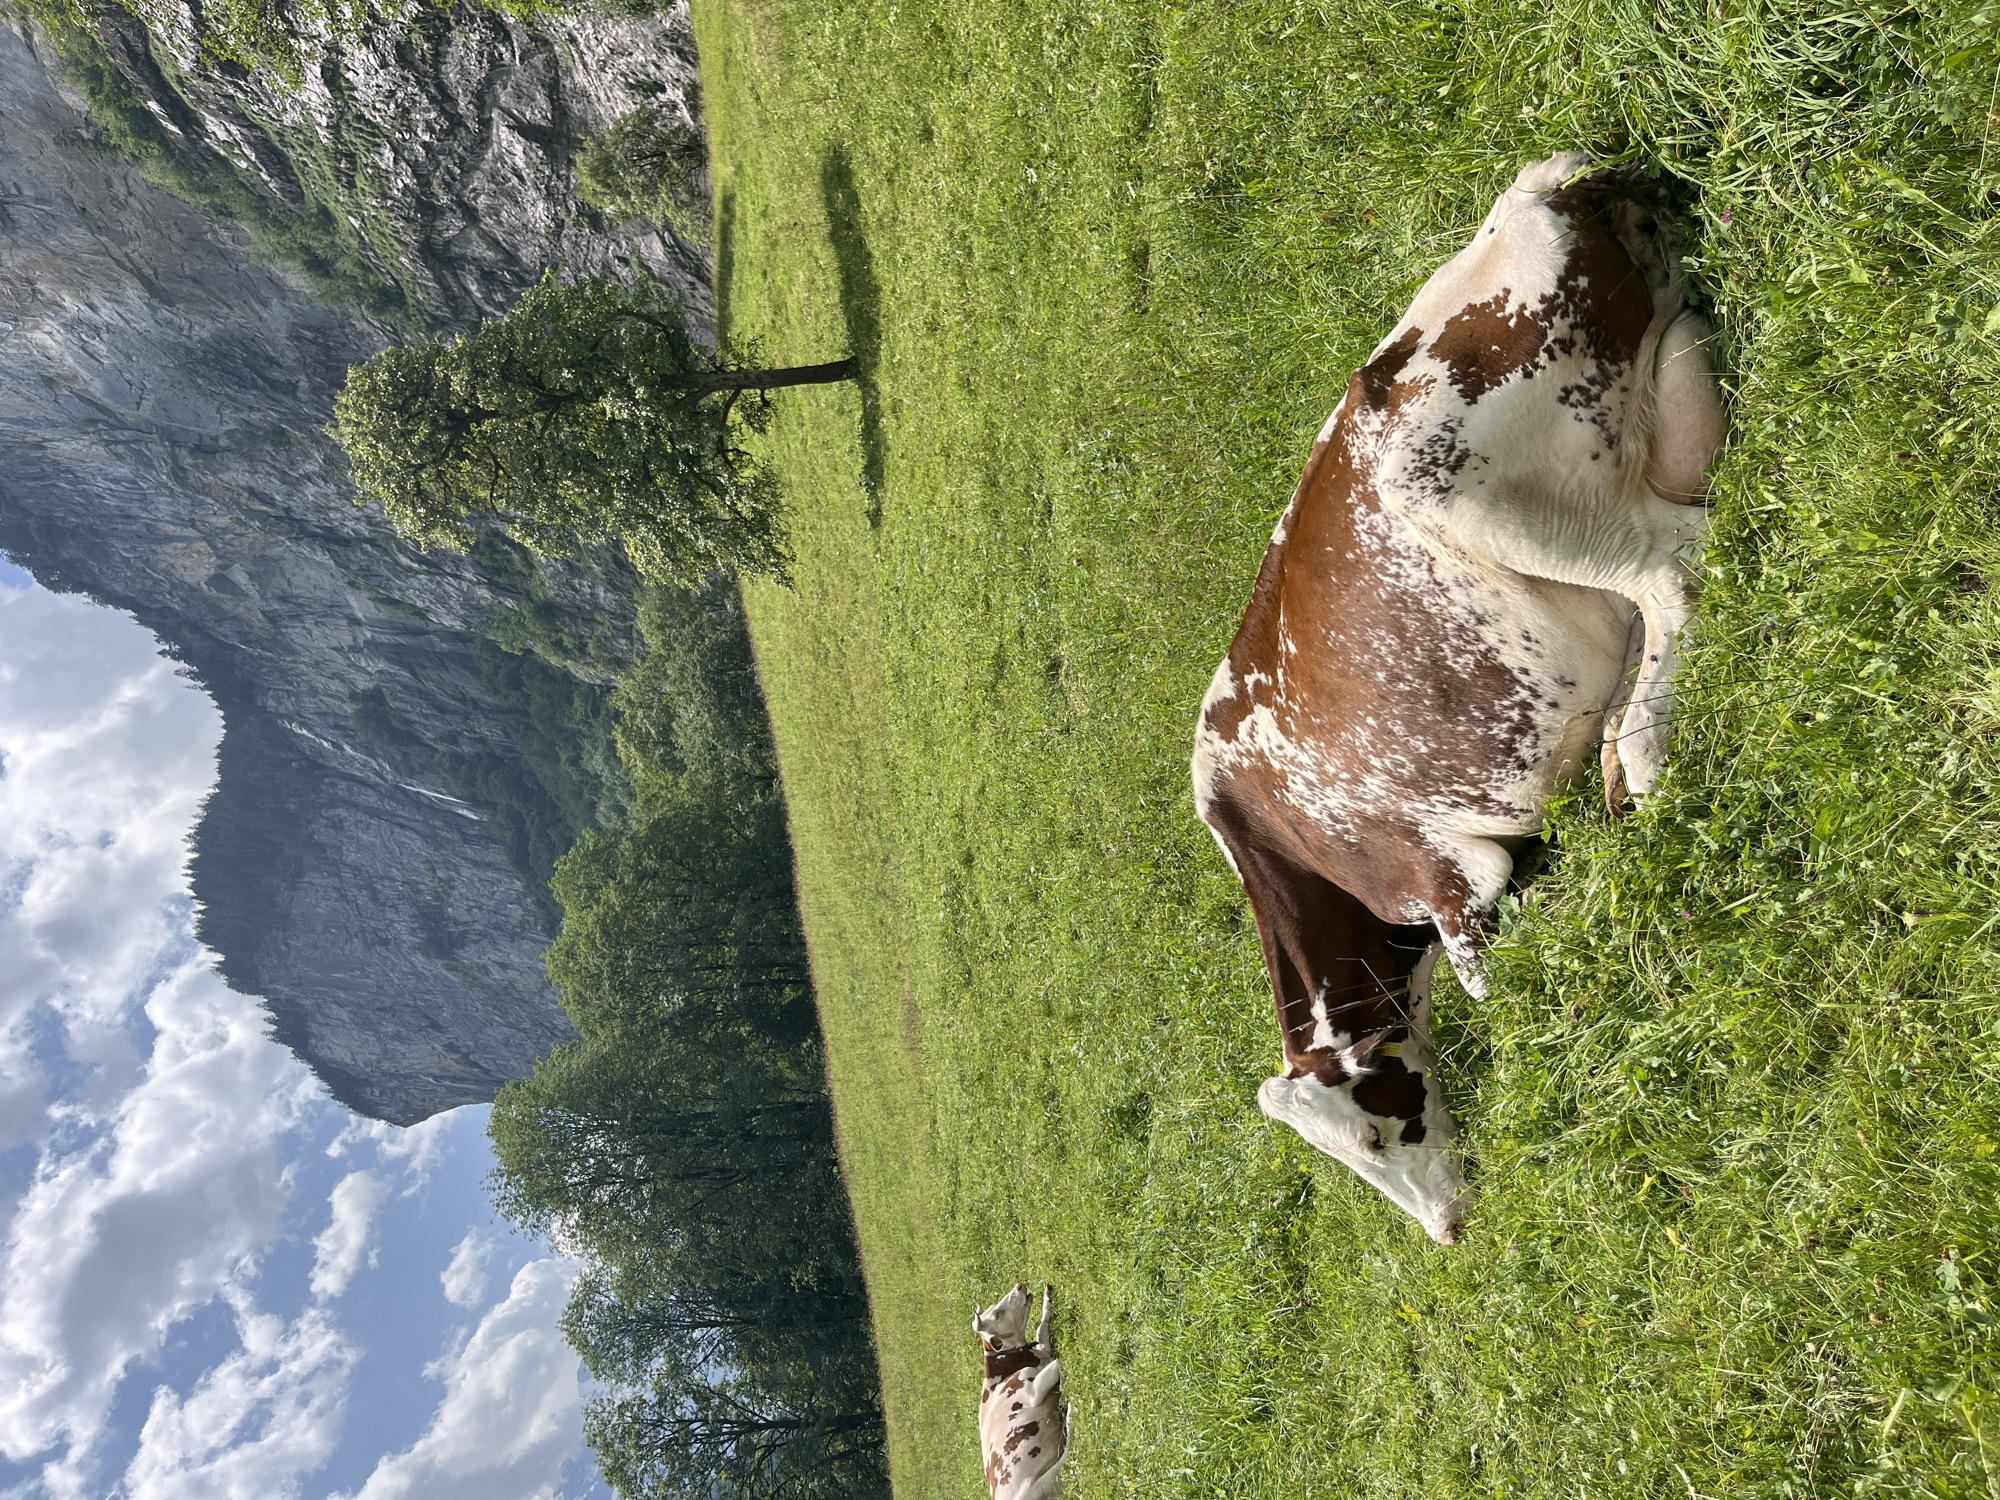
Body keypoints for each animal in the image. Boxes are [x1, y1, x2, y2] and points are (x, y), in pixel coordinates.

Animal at [974, 1283, 1067, 1500]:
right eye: (998, 1314)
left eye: (995, 1309)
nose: (1020, 1286)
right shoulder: (1031, 1392)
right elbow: (1059, 1363)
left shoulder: (1043, 1350)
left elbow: (1041, 1329)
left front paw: (1047, 1297)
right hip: (1042, 1484)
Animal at [1191, 153, 1725, 1245]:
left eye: (1370, 1132)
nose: (1444, 1229)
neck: (1293, 849)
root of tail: (1553, 187)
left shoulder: (1453, 882)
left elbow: (1490, 978)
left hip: (1454, 489)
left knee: (1671, 568)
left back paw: (1639, 754)